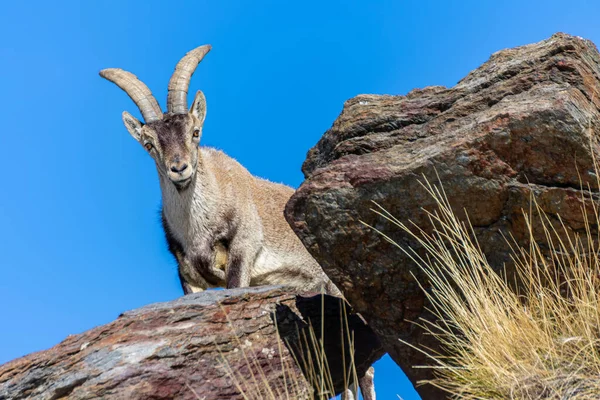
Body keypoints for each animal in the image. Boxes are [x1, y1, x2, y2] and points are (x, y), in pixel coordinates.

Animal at [99, 45, 342, 298]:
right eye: (149, 145)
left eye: (195, 132)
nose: (179, 169)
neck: (197, 229)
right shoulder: (187, 274)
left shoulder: (244, 247)